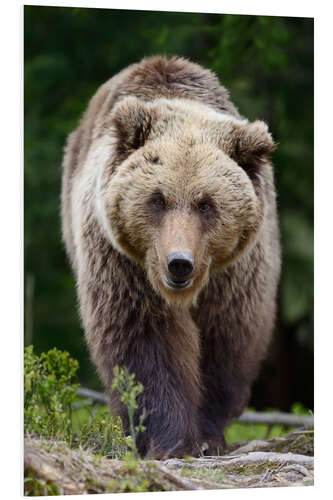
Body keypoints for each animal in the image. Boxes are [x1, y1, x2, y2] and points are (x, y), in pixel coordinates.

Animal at [61, 54, 278, 458]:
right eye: (157, 199)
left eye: (206, 204)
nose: (179, 263)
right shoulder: (124, 264)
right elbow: (146, 342)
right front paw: (170, 439)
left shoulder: (235, 276)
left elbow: (224, 341)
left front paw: (207, 436)